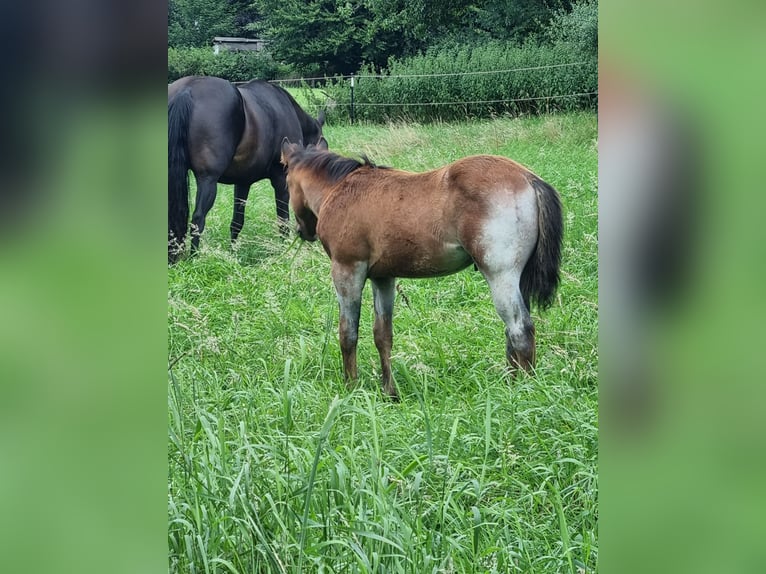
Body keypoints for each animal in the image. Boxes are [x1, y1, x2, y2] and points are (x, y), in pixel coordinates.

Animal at [168, 76, 326, 261]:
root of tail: (187, 89)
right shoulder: (281, 180)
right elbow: (283, 220)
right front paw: (284, 250)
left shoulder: (243, 183)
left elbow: (237, 221)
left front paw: (233, 253)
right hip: (208, 180)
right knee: (198, 218)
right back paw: (194, 258)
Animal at [280, 139, 563, 400]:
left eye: (286, 179)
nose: (303, 232)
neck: (342, 190)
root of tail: (529, 178)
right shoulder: (383, 277)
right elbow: (382, 335)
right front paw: (390, 393)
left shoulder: (347, 270)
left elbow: (348, 333)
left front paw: (350, 389)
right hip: (518, 279)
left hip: (500, 276)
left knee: (520, 329)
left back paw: (524, 394)